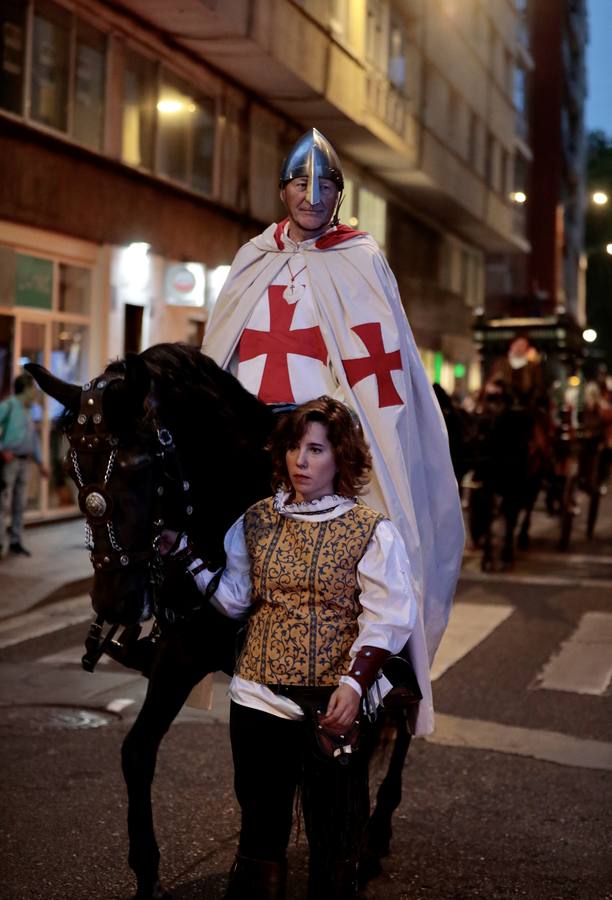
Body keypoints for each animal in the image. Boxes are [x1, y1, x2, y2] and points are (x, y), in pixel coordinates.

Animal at [31, 344, 418, 900]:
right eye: (72, 467)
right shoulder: (182, 653)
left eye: (141, 467)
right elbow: (139, 751)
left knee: (402, 721)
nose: (113, 601)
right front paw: (147, 872)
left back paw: (373, 840)